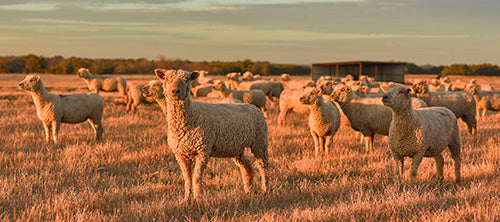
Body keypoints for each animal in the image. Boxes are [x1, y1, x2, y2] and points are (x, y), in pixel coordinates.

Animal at [154, 69, 270, 199]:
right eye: (166, 79)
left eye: (187, 79)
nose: (175, 91)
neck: (191, 116)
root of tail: (253, 106)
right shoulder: (180, 154)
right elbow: (187, 179)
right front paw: (186, 199)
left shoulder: (203, 151)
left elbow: (196, 178)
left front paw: (197, 199)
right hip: (237, 148)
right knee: (247, 168)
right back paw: (248, 191)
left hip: (260, 142)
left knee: (263, 167)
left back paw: (265, 191)